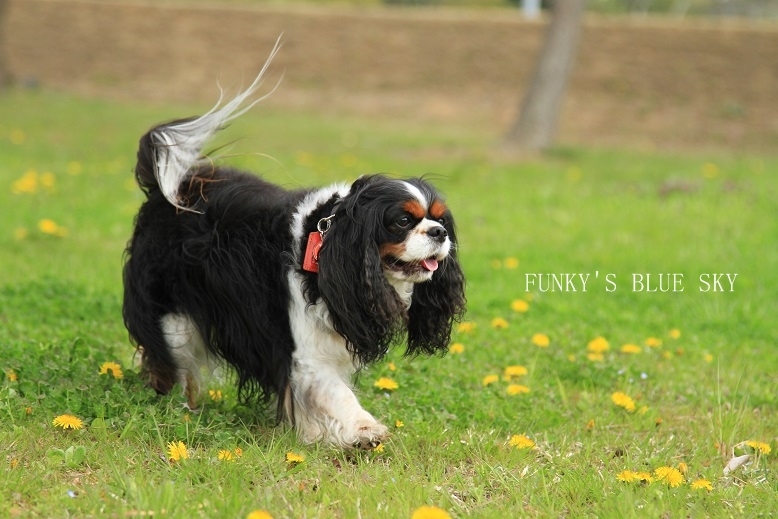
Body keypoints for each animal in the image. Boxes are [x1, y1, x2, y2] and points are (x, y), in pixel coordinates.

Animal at [120, 45, 460, 450]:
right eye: (403, 221)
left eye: (440, 219)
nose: (439, 233)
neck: (331, 242)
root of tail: (164, 191)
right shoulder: (303, 351)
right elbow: (336, 391)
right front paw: (364, 430)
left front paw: (317, 433)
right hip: (172, 319)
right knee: (168, 363)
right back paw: (175, 406)